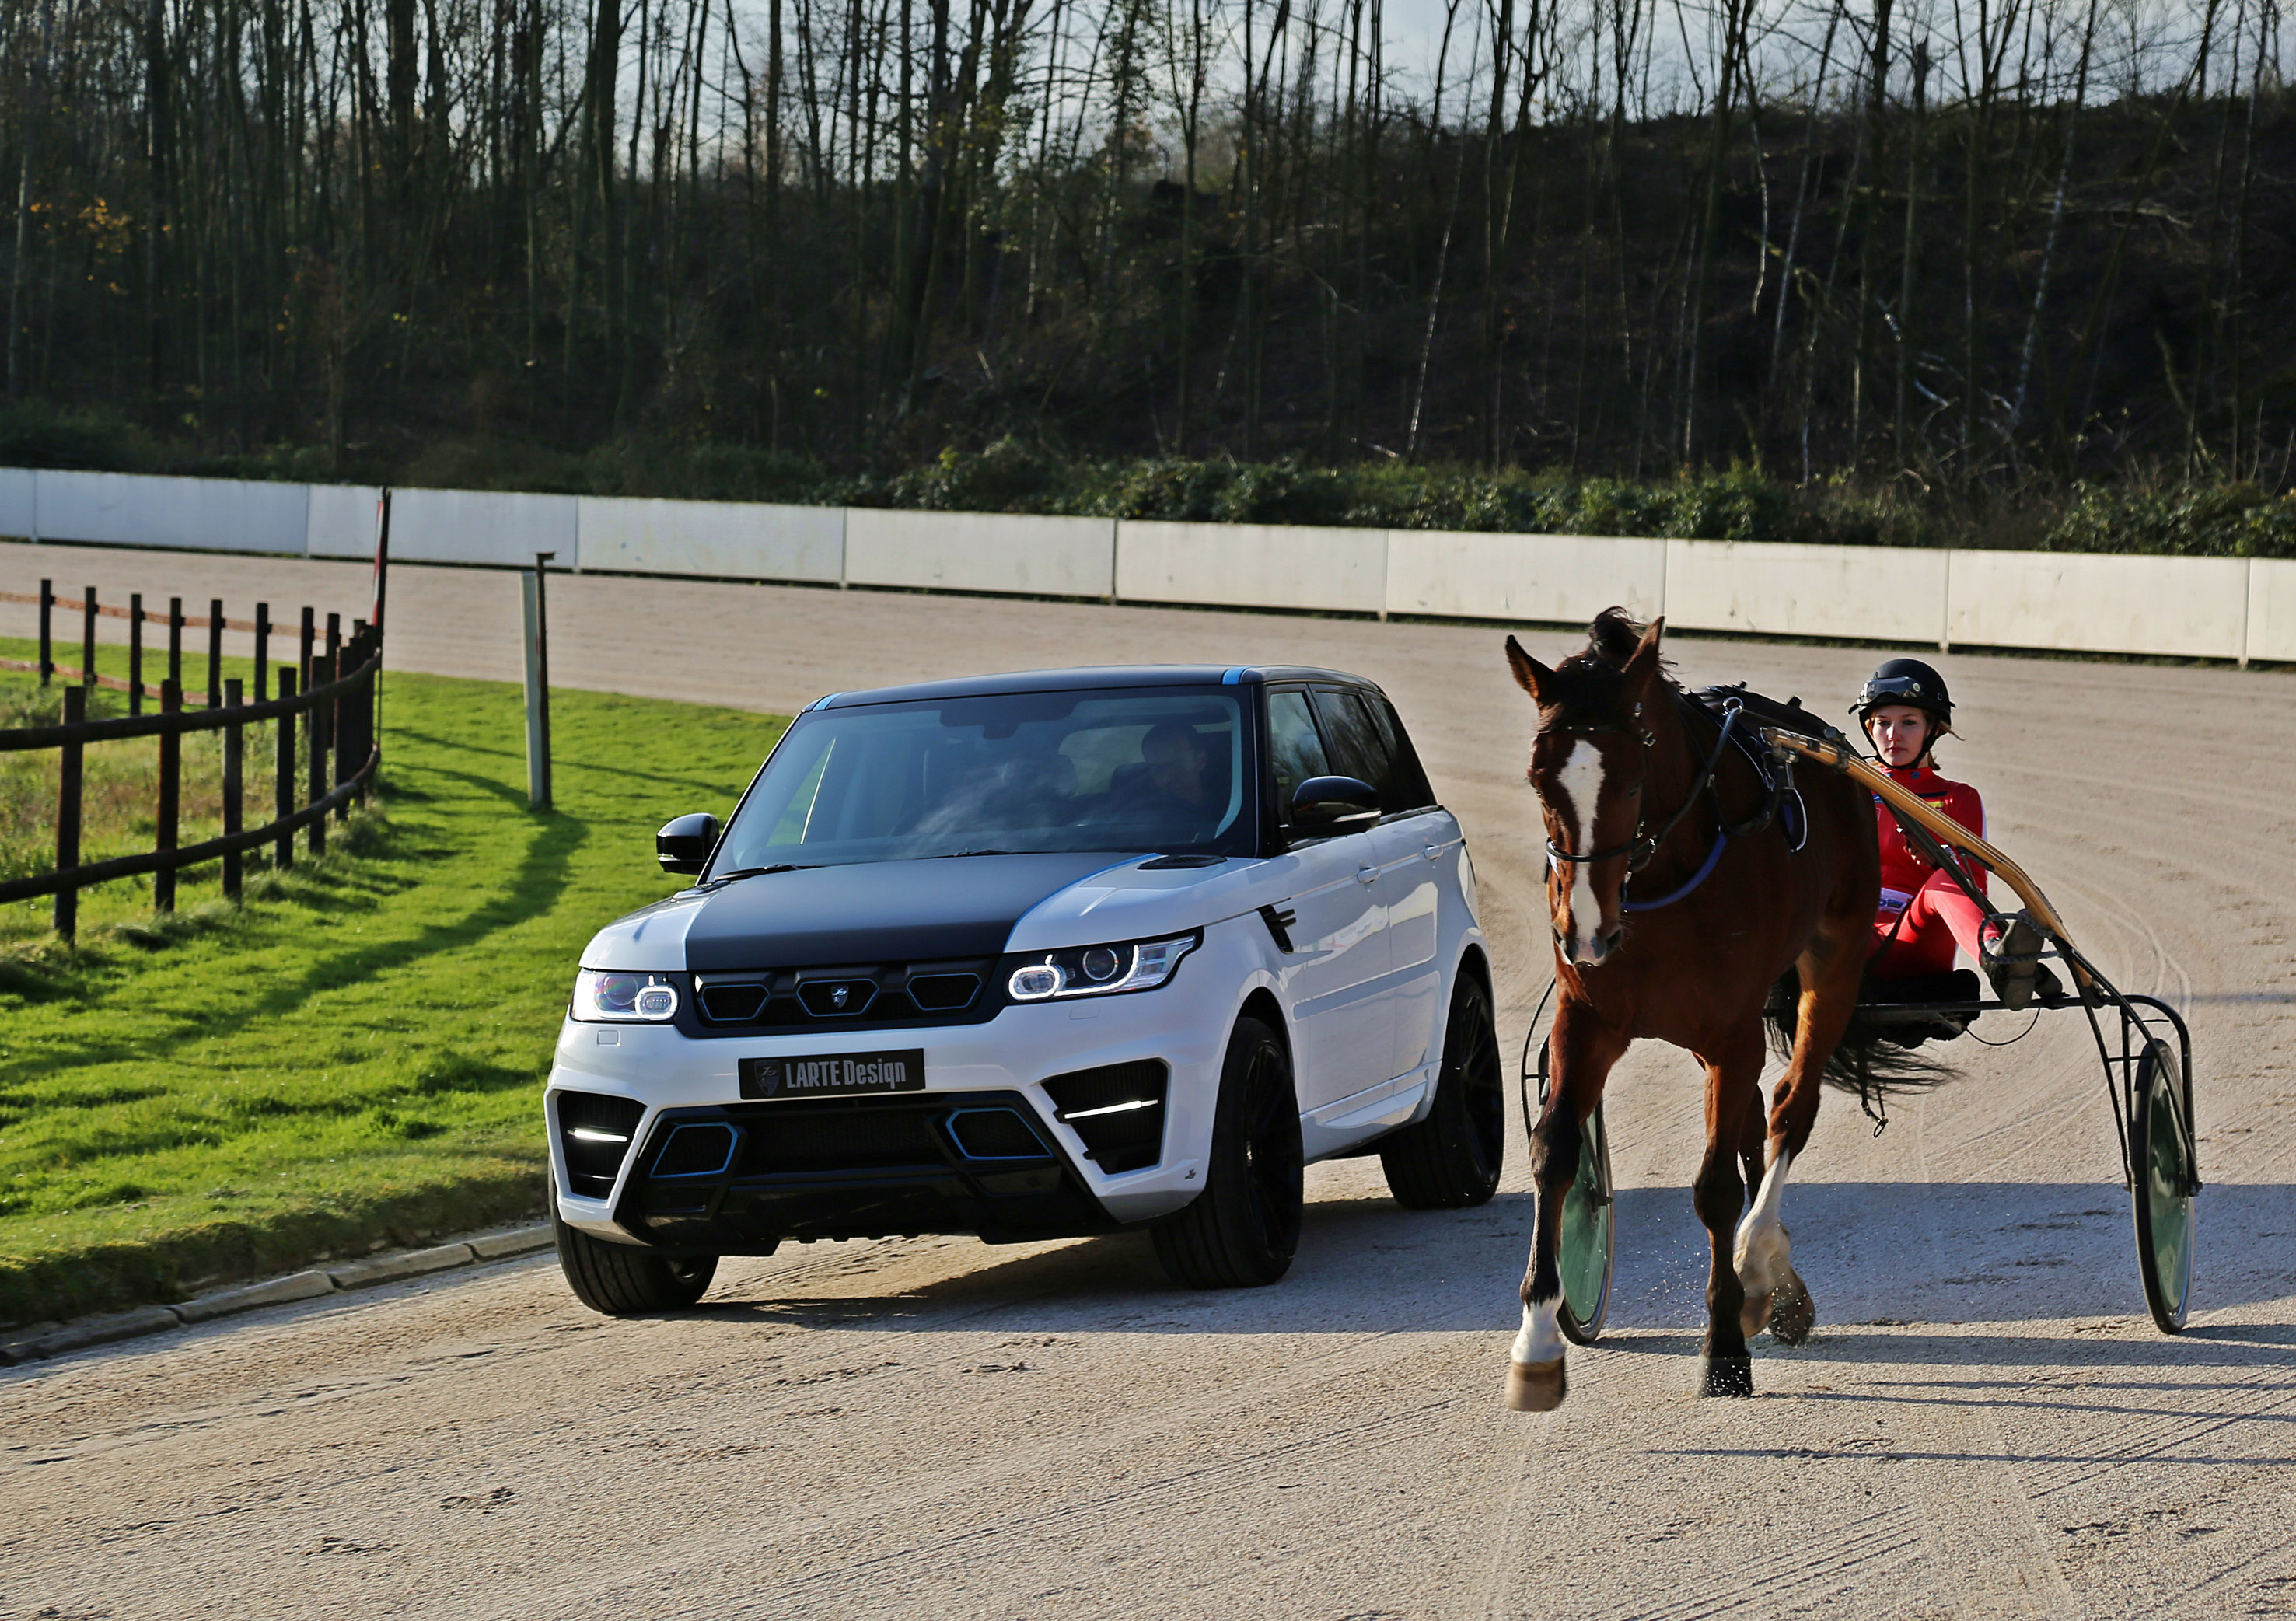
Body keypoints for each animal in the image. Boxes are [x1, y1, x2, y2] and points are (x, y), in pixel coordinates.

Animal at [1506, 606, 1882, 1405]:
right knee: (1753, 1124)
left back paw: (1757, 1260)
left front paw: (1724, 1349)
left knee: (1788, 1110)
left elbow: (1715, 1188)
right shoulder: (1587, 1018)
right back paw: (1776, 1283)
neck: (1655, 880)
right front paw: (1537, 1341)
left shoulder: (1731, 1032)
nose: (1584, 929)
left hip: (1834, 960)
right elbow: (1554, 1151)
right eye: (1539, 779)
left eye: (1630, 778)